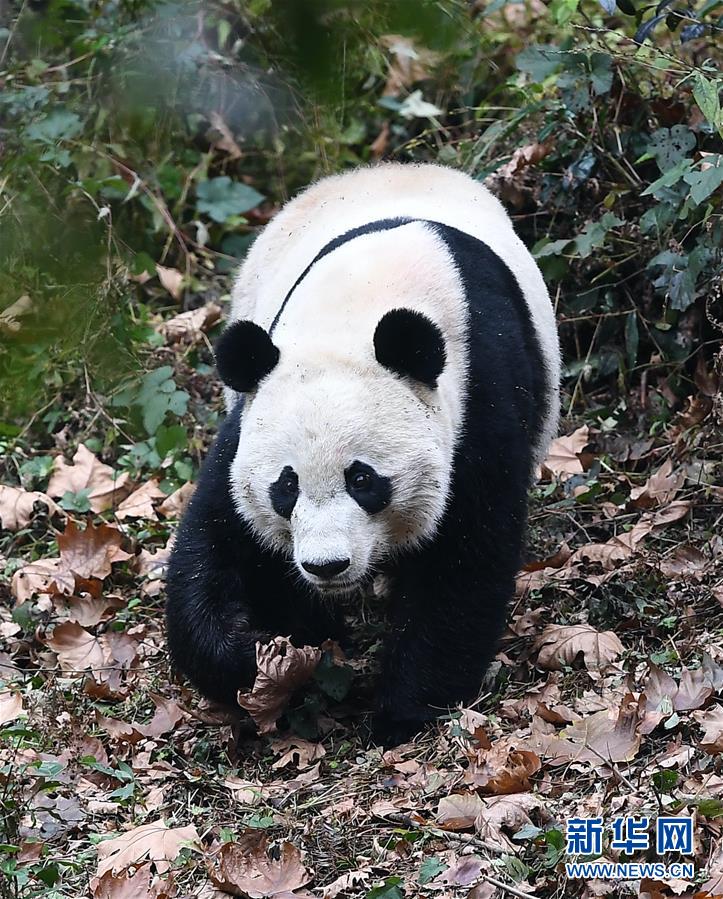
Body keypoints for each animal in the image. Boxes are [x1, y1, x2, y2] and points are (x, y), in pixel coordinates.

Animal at [165, 162, 560, 744]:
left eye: (363, 480)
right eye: (286, 487)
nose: (327, 565)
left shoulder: (479, 393)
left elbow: (464, 558)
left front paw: (404, 712)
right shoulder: (255, 410)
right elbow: (220, 537)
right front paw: (256, 660)